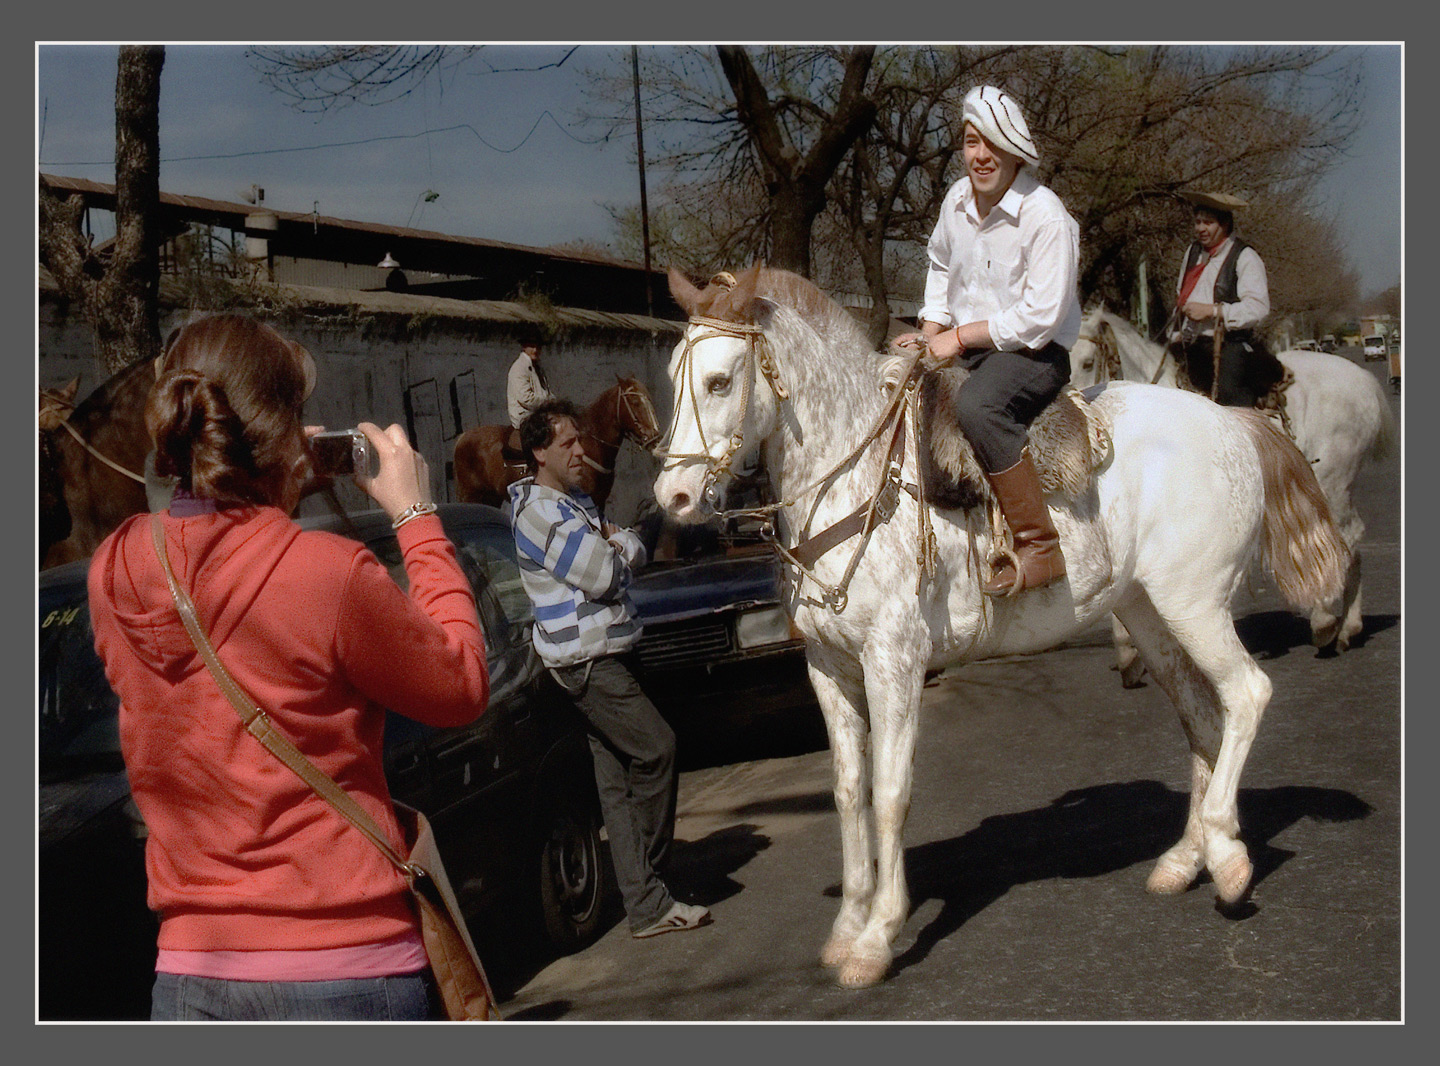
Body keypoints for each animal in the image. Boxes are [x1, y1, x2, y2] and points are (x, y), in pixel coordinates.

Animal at [452, 377, 659, 509]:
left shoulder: (599, 502)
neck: (590, 444)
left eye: (650, 399)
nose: (655, 437)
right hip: (470, 495)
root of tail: (463, 437)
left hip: (490, 497)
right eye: (634, 402)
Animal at [653, 266, 1347, 991]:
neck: (854, 476)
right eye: (674, 376)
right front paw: (846, 926)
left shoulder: (894, 661)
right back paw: (1188, 858)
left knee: (1247, 695)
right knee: (1204, 720)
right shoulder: (827, 667)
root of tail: (1232, 422)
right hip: (1150, 615)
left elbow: (890, 793)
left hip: (1196, 604)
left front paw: (877, 937)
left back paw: (1230, 857)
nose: (673, 498)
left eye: (720, 381)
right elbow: (847, 792)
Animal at [1071, 303, 1393, 671]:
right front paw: (1129, 651)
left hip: (1335, 481)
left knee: (1349, 538)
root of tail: (1363, 380)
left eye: (1087, 362)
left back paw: (1330, 623)